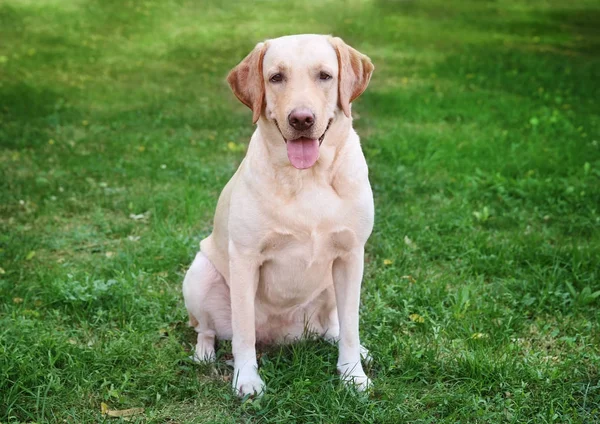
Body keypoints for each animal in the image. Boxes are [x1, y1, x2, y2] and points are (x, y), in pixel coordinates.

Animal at [184, 34, 376, 398]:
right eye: (276, 77)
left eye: (325, 76)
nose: (301, 119)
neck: (307, 177)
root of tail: (282, 335)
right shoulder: (245, 258)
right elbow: (243, 332)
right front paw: (246, 378)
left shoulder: (351, 255)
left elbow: (352, 325)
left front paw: (352, 374)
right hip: (199, 274)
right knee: (207, 329)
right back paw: (204, 354)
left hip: (331, 284)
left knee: (335, 324)